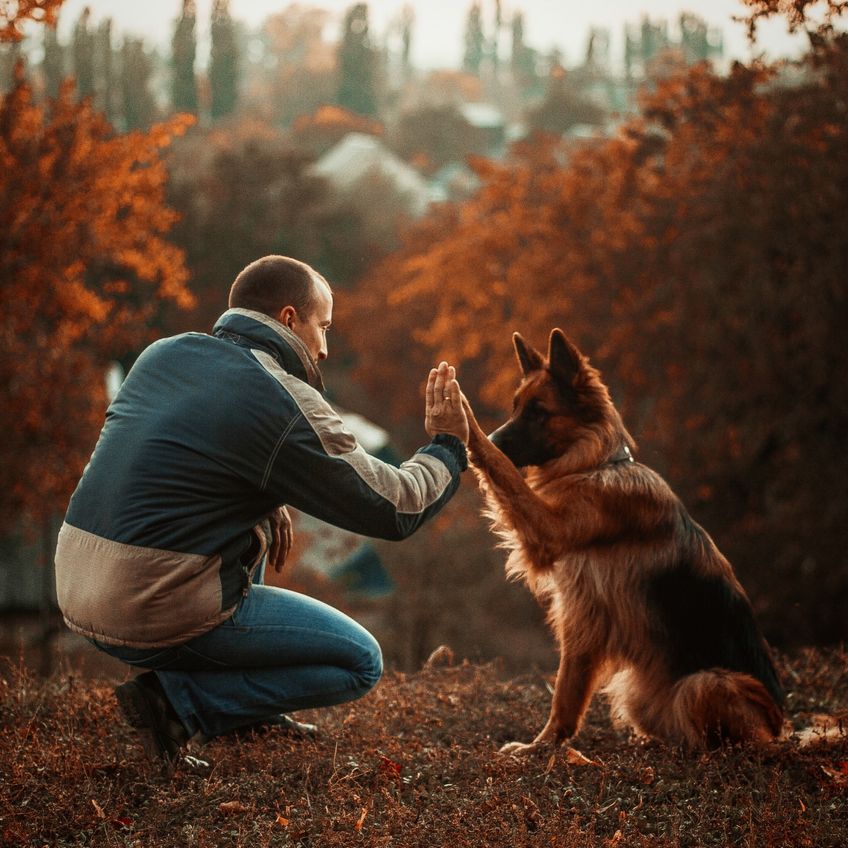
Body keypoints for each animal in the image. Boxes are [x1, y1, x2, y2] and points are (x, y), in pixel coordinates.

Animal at [464, 328, 780, 752]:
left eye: (538, 412)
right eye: (515, 408)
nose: (497, 437)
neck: (597, 465)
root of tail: (781, 730)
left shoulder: (551, 537)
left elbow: (507, 476)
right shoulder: (580, 615)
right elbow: (567, 692)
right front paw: (545, 747)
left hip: (706, 683)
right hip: (637, 691)